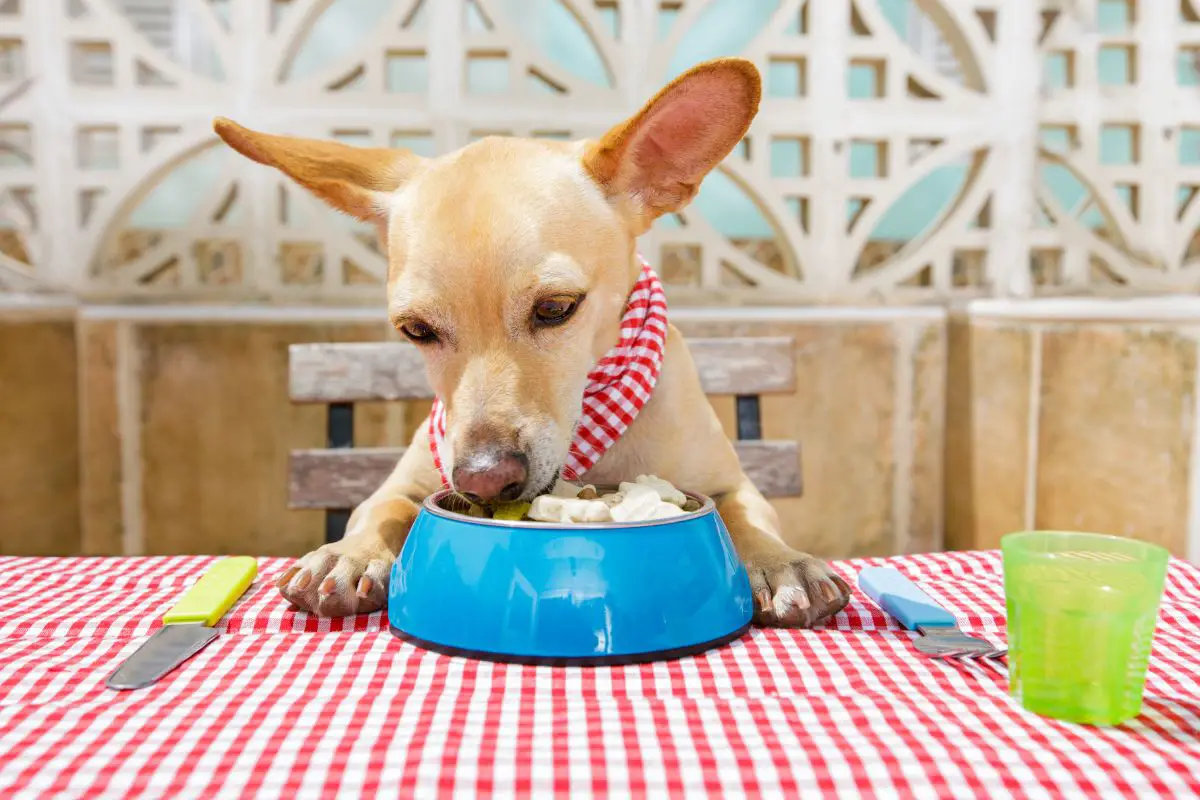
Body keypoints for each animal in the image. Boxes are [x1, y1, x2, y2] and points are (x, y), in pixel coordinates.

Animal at [216, 59, 854, 628]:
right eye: (415, 330)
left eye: (556, 309)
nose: (481, 478)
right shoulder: (401, 485)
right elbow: (385, 509)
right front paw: (349, 555)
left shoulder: (735, 485)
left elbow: (744, 517)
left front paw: (779, 562)